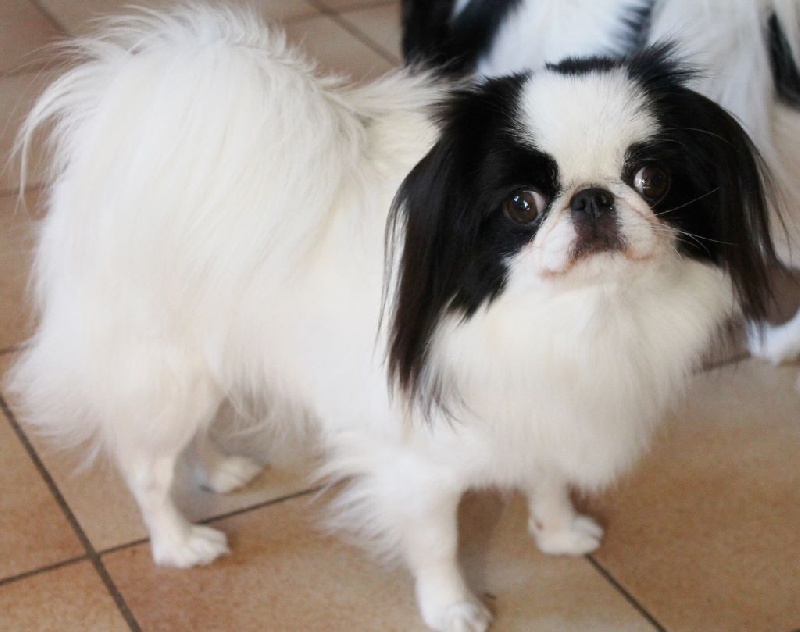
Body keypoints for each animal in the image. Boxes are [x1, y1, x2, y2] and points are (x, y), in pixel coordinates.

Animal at [7, 6, 782, 631]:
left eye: (651, 179)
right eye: (521, 205)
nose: (592, 198)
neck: (576, 319)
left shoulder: (543, 407)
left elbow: (547, 476)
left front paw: (559, 533)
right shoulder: (418, 467)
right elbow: (437, 544)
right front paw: (454, 609)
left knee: (190, 435)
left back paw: (222, 471)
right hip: (164, 367)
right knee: (147, 466)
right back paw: (178, 544)